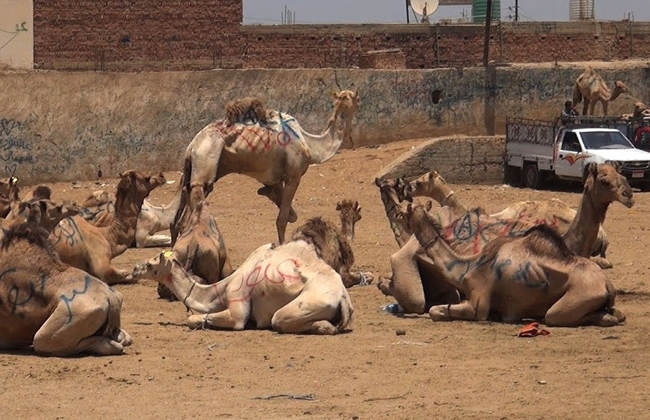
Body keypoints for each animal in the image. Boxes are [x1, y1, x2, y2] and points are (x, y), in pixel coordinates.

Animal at [175, 90, 360, 244]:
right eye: (355, 98)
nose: (360, 100)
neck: (309, 144)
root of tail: (192, 147)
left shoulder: (274, 180)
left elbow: (289, 214)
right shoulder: (293, 176)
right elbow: (282, 219)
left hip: (192, 171)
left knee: (180, 216)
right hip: (205, 163)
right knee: (192, 211)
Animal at [404, 201, 624, 328]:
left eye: (406, 211)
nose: (400, 218)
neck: (466, 268)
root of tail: (607, 284)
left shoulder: (478, 302)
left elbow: (436, 310)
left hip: (578, 297)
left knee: (554, 316)